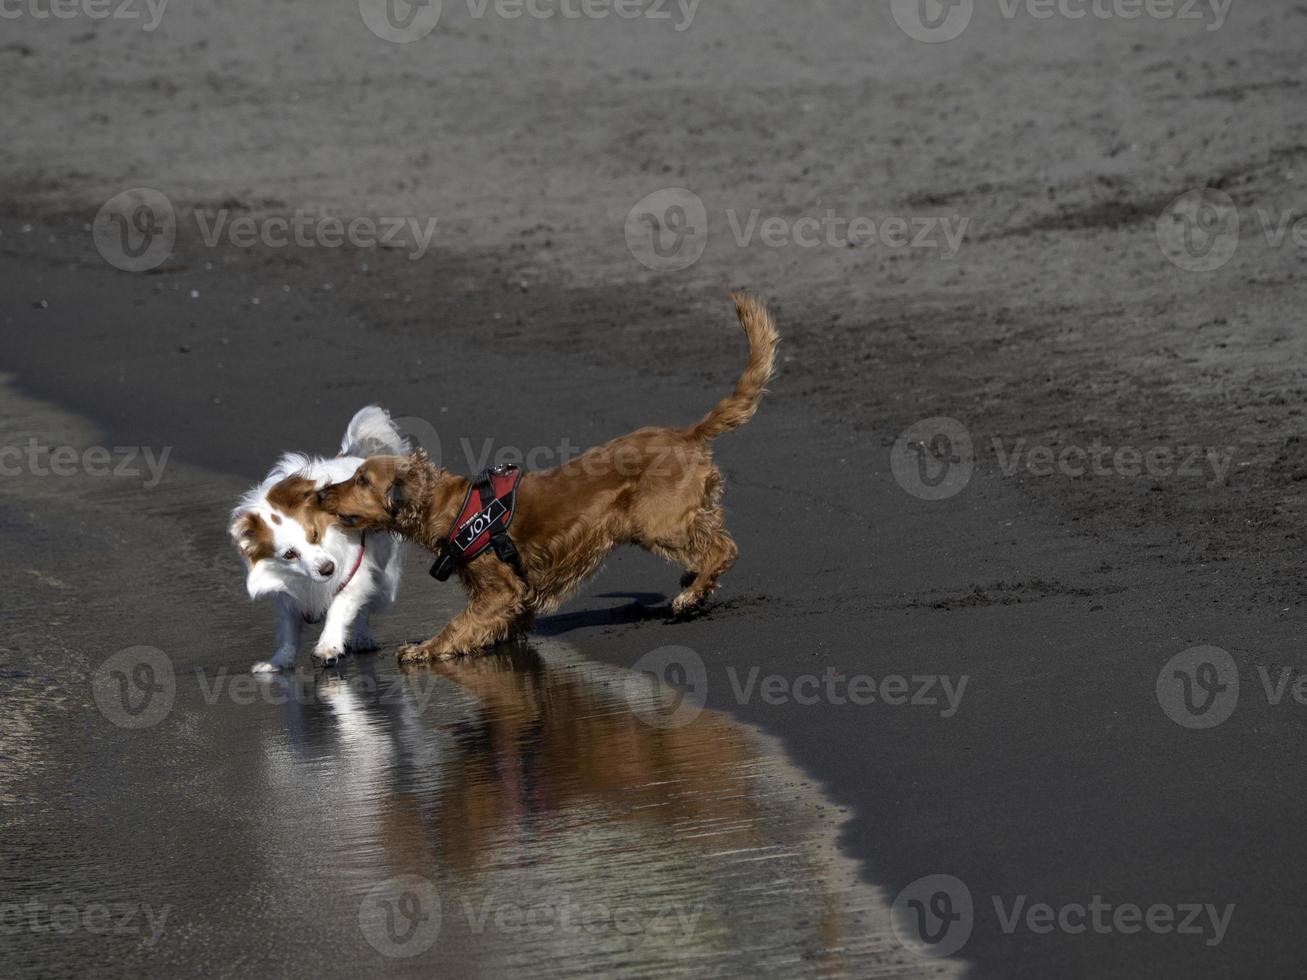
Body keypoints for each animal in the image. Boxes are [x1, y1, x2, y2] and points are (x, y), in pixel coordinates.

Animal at [227, 407, 405, 674]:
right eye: (289, 554)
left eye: (314, 535)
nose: (327, 569)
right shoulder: (287, 599)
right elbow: (288, 633)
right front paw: (278, 662)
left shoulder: (353, 578)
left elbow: (339, 609)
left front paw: (328, 645)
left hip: (384, 580)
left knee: (367, 606)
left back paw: (363, 637)